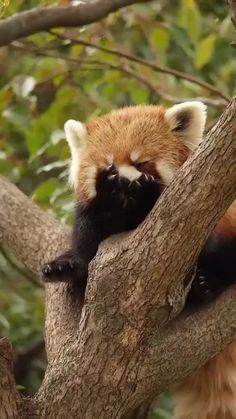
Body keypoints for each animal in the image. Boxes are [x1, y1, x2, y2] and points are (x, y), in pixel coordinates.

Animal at [42, 102, 236, 419]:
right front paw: (66, 264)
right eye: (108, 166)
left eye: (142, 163)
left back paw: (207, 284)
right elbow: (88, 243)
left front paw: (146, 191)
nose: (124, 180)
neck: (130, 213)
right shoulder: (93, 221)